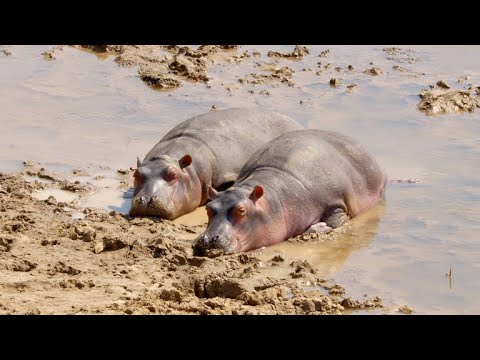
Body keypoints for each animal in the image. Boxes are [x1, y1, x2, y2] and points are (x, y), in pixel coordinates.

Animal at [193, 129, 388, 253]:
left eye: (241, 211)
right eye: (208, 208)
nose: (208, 239)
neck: (273, 199)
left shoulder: (335, 201)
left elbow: (336, 220)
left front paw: (321, 226)